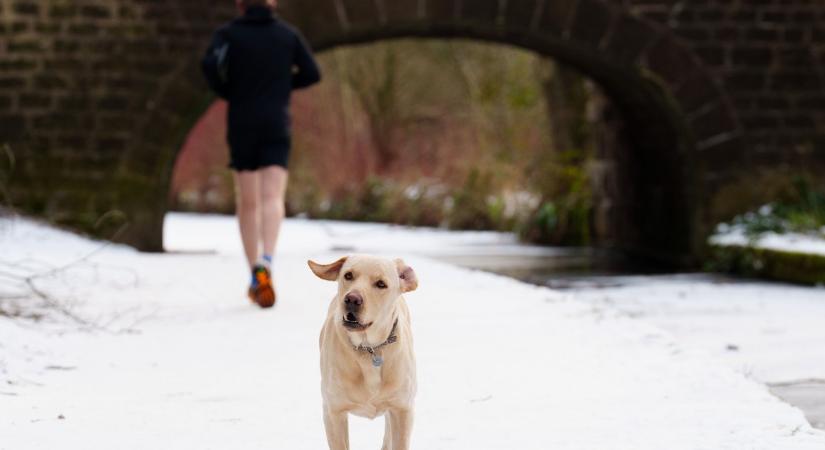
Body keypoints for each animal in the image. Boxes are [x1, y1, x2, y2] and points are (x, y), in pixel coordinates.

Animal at [308, 256, 418, 450]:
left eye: (381, 284)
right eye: (348, 275)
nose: (352, 299)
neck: (368, 347)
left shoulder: (403, 409)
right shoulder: (333, 412)